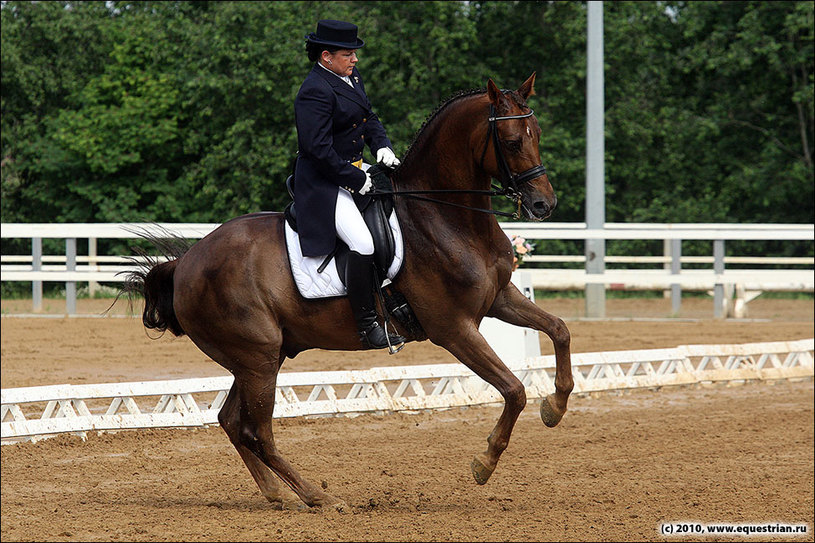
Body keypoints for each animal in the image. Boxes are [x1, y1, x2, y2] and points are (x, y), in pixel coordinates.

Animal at [121, 73, 572, 510]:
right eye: (511, 141)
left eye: (537, 133)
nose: (543, 205)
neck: (443, 216)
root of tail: (188, 261)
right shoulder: (454, 329)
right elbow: (514, 390)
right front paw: (484, 462)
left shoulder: (500, 298)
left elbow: (559, 330)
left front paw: (555, 407)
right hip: (258, 359)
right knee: (257, 431)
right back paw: (319, 497)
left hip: (259, 358)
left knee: (233, 421)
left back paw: (276, 493)